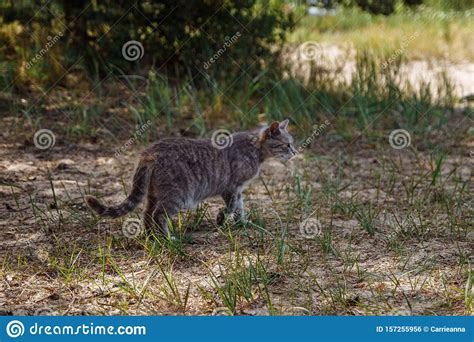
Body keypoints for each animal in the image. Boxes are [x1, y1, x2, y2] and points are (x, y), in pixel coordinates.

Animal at [84, 118, 296, 235]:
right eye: (287, 145)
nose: (294, 152)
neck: (256, 149)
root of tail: (150, 151)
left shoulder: (238, 189)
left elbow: (239, 207)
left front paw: (242, 223)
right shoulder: (231, 187)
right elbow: (232, 206)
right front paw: (222, 218)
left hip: (153, 193)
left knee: (147, 214)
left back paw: (152, 238)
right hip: (177, 195)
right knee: (158, 215)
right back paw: (167, 239)